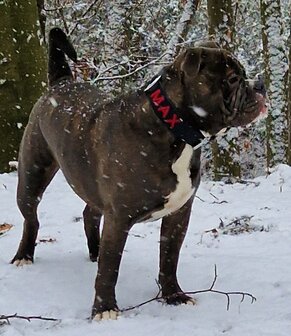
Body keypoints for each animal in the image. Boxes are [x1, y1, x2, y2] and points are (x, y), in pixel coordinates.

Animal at [10, 28, 266, 320]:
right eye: (233, 79)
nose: (259, 84)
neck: (173, 128)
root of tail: (61, 83)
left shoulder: (179, 214)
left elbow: (169, 256)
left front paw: (173, 295)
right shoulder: (119, 217)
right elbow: (110, 267)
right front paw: (105, 309)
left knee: (90, 213)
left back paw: (94, 252)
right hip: (32, 176)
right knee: (31, 219)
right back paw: (24, 256)